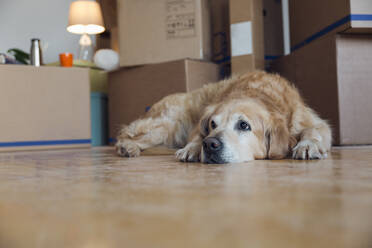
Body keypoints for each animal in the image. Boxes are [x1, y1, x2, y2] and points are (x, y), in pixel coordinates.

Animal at [116, 70, 332, 163]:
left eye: (244, 125)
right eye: (212, 124)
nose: (210, 144)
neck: (257, 91)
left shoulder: (311, 121)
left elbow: (314, 130)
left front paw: (307, 145)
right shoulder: (197, 126)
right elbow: (196, 136)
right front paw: (193, 148)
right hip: (165, 126)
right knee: (125, 134)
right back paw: (127, 147)